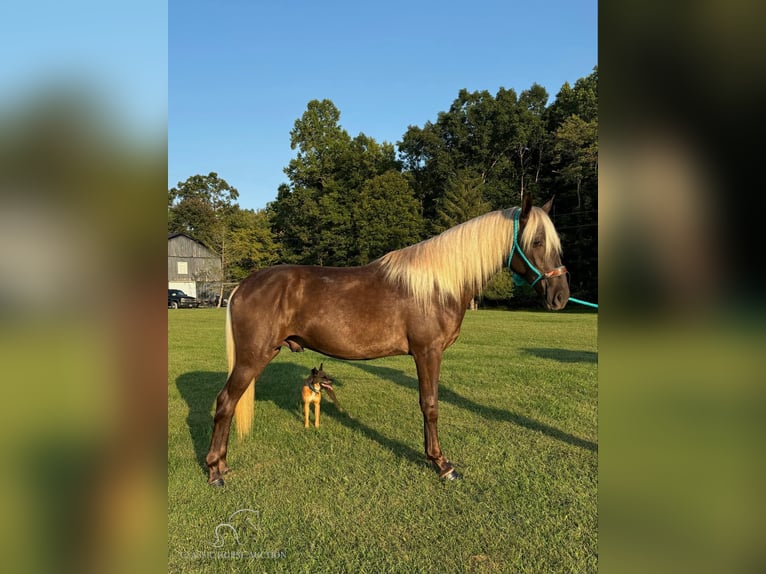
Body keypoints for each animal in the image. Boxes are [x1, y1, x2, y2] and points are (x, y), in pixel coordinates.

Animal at [204, 196, 568, 488]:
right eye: (537, 241)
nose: (560, 297)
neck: (436, 285)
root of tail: (244, 285)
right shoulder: (427, 353)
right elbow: (430, 405)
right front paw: (442, 464)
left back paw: (222, 465)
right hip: (252, 358)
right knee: (224, 403)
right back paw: (215, 471)